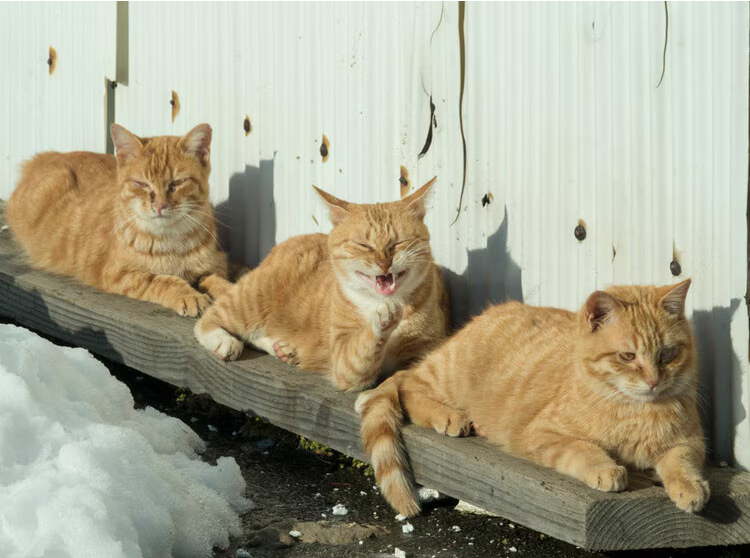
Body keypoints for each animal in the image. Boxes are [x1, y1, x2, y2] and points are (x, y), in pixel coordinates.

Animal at [6, 123, 230, 316]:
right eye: (141, 184)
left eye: (177, 183)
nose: (159, 205)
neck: (170, 242)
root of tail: (43, 156)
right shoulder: (119, 274)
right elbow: (162, 281)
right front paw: (188, 295)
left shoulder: (215, 265)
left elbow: (217, 282)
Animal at [193, 178, 450, 391]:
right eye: (363, 245)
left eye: (398, 243)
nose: (383, 262)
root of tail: (281, 246)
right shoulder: (345, 365)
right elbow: (362, 348)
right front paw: (383, 318)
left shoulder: (423, 353)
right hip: (252, 298)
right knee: (208, 320)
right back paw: (223, 340)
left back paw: (281, 349)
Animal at [356, 279, 710, 516]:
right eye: (627, 356)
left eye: (668, 354)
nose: (653, 380)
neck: (634, 410)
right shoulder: (542, 434)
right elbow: (583, 448)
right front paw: (606, 469)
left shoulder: (690, 440)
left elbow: (681, 461)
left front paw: (690, 487)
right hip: (446, 375)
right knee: (408, 386)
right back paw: (450, 416)